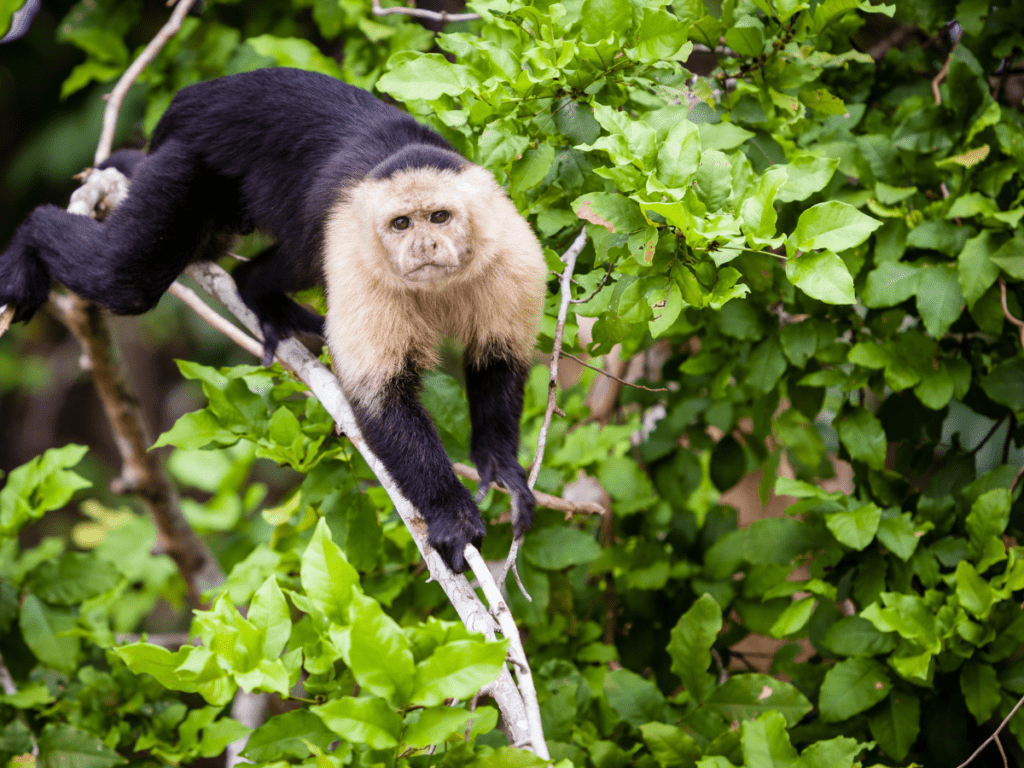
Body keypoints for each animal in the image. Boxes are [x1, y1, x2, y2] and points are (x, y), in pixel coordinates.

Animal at [0, 67, 548, 577]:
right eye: (400, 224)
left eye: (439, 217)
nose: (424, 246)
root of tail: (194, 97)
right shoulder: (358, 257)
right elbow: (380, 399)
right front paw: (453, 518)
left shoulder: (513, 252)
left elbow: (499, 358)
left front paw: (500, 466)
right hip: (184, 161)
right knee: (126, 278)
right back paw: (28, 242)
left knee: (293, 255)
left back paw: (257, 293)